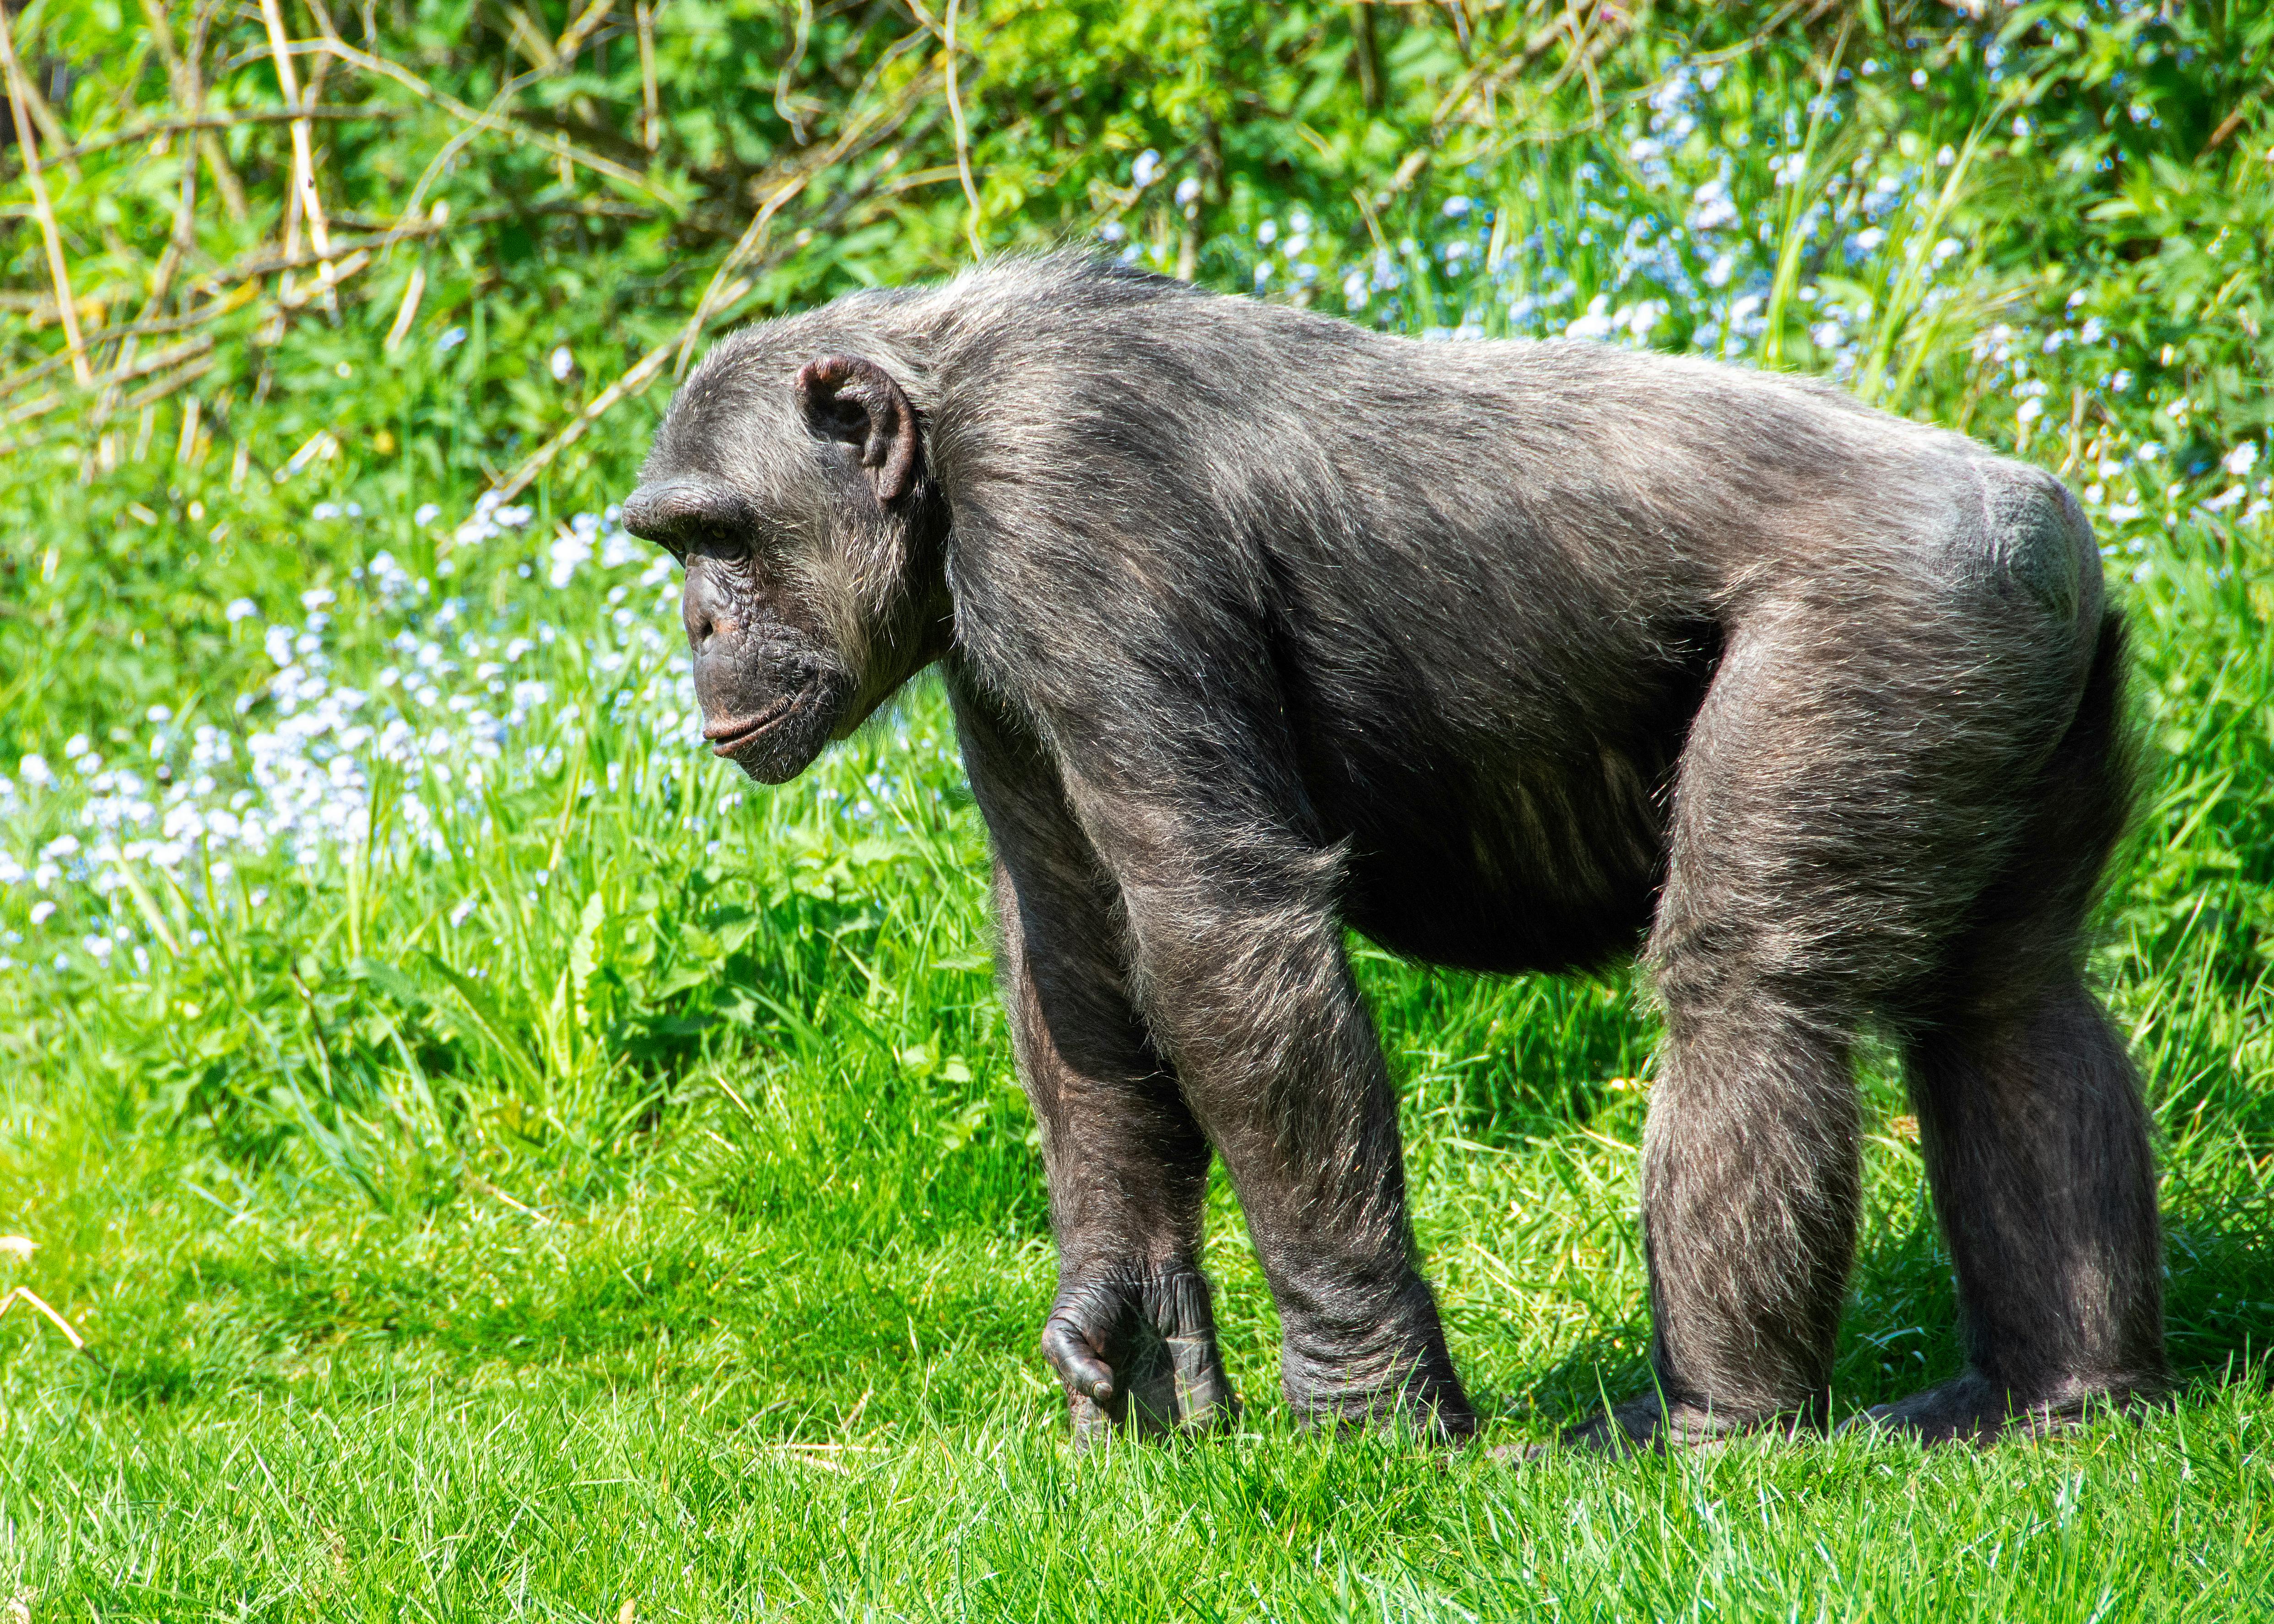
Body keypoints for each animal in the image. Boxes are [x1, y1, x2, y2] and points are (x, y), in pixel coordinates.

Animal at [621, 255, 2166, 1451]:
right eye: (675, 544)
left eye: (723, 534)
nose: (696, 622)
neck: (947, 423)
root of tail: (2043, 517)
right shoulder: (993, 658)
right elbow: (1073, 946)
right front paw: (1127, 1309)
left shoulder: (1068, 508)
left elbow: (1217, 923)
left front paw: (1367, 1405)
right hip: (2015, 665)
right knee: (2012, 1003)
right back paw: (2059, 1393)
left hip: (1882, 627)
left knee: (1747, 993)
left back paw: (1720, 1423)